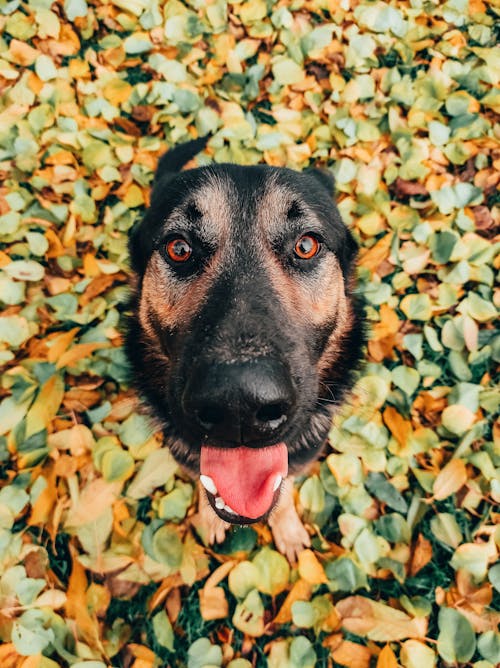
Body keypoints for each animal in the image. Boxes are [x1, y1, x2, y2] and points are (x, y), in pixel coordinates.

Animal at [127, 137, 366, 560]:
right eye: (178, 248)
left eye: (306, 245)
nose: (238, 407)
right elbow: (204, 481)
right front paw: (209, 519)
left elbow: (282, 490)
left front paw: (287, 528)